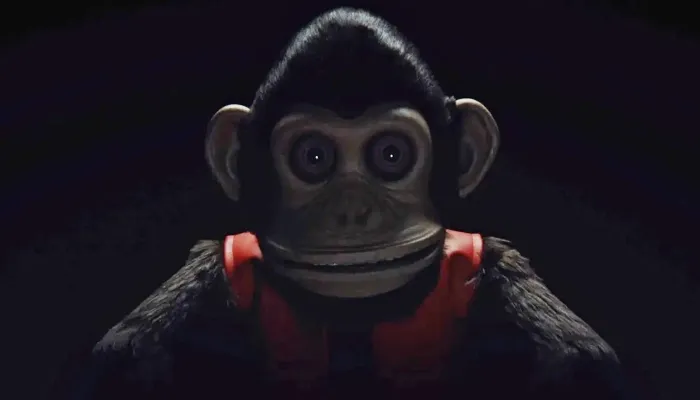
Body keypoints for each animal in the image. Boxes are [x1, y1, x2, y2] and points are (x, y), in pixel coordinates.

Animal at [72, 8, 638, 400]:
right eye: (313, 156)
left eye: (390, 154)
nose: (351, 212)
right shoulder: (225, 260)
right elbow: (126, 355)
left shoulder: (488, 257)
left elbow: (583, 361)